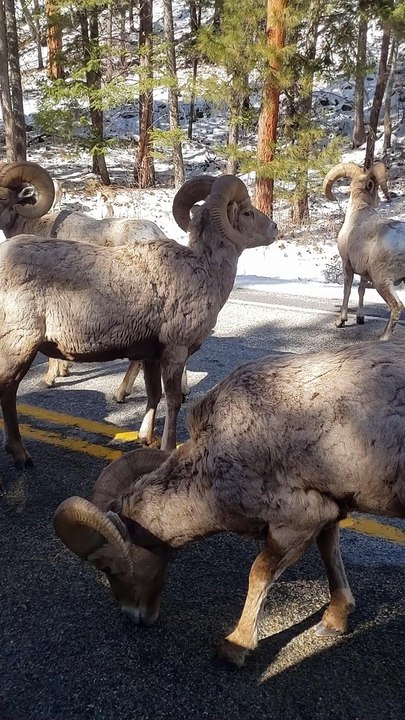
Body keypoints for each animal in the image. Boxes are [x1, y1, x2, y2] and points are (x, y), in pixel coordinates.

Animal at [53, 338, 405, 668]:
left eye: (106, 566)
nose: (134, 617)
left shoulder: (293, 525)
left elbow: (259, 574)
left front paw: (235, 647)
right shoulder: (327, 509)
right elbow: (330, 554)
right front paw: (334, 621)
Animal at [323, 161, 405, 340]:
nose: (380, 199)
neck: (358, 212)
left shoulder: (347, 264)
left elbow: (347, 291)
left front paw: (341, 321)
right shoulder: (364, 273)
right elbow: (361, 290)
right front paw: (360, 318)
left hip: (382, 282)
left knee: (396, 306)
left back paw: (383, 338)